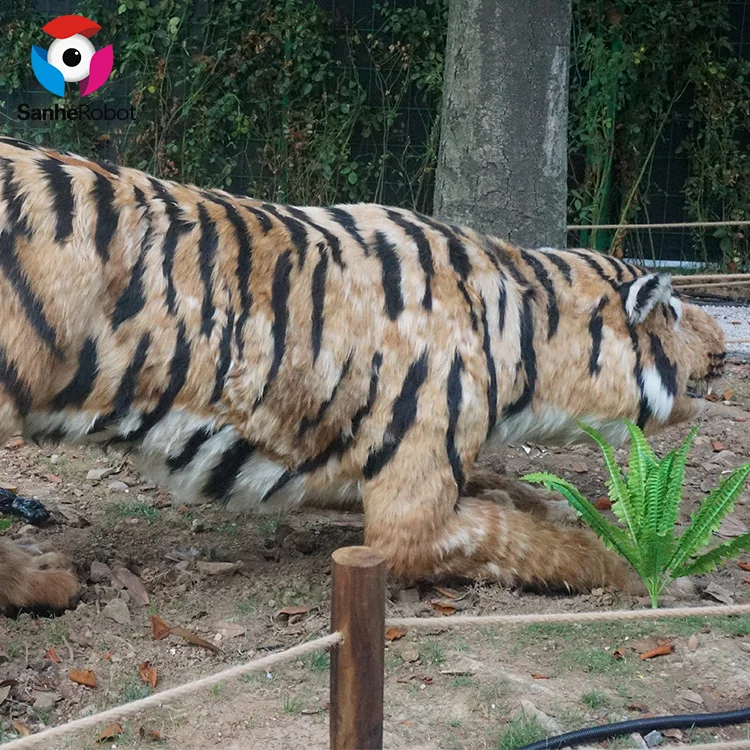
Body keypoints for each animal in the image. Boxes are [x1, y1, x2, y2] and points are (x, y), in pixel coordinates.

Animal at [0, 136, 726, 613]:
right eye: (676, 311)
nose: (725, 344)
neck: (524, 329)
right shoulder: (412, 517)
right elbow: (536, 542)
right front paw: (663, 575)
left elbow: (504, 491)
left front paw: (545, 497)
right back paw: (45, 579)